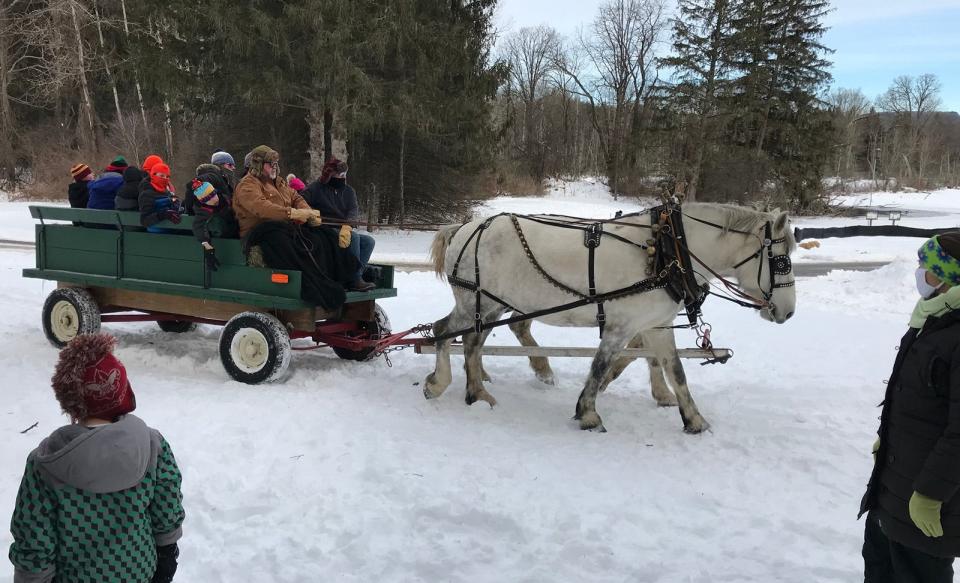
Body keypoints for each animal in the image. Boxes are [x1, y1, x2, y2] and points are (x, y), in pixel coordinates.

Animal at [426, 205, 796, 434]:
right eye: (781, 261)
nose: (788, 312)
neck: (668, 248)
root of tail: (465, 227)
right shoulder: (621, 325)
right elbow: (601, 366)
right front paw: (588, 413)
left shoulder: (656, 325)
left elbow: (675, 370)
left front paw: (694, 419)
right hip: (477, 302)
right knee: (446, 332)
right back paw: (449, 385)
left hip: (490, 306)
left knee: (473, 339)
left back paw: (479, 387)